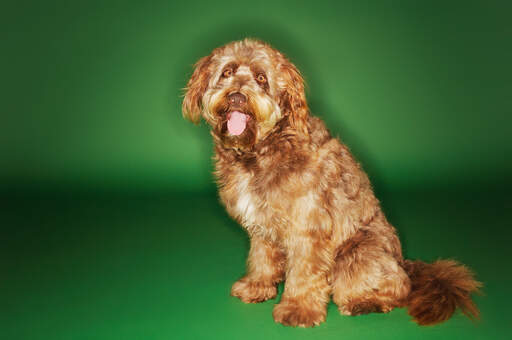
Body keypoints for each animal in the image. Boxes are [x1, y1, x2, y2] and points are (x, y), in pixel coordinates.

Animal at [182, 38, 482, 328]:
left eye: (261, 78)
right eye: (227, 72)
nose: (236, 97)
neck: (262, 150)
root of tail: (404, 263)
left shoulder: (308, 226)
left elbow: (304, 272)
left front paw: (299, 309)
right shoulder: (261, 224)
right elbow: (261, 257)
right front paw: (257, 286)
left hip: (356, 255)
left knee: (397, 288)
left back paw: (365, 302)